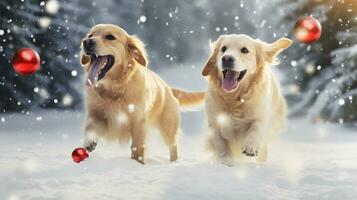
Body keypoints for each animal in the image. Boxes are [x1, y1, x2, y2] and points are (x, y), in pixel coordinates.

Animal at [79, 23, 204, 164]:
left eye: (110, 37)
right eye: (90, 35)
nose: (87, 42)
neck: (115, 88)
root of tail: (168, 88)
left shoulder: (138, 121)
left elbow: (137, 146)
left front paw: (138, 163)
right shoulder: (96, 114)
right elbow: (90, 127)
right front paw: (89, 142)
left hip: (168, 128)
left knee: (173, 146)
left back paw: (174, 163)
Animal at [202, 34, 290, 164]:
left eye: (244, 50)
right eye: (223, 49)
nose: (226, 58)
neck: (235, 99)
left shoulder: (261, 116)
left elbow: (256, 128)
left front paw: (250, 146)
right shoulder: (215, 123)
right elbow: (221, 145)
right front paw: (227, 161)